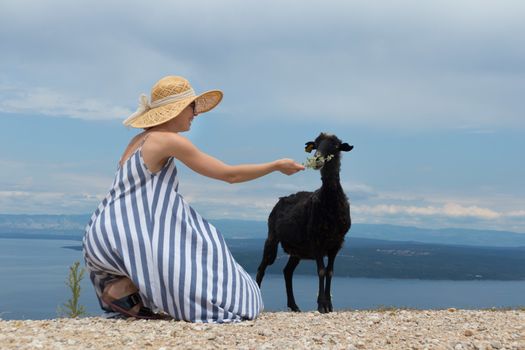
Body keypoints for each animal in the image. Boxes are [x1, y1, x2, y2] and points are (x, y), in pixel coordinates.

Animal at [255, 133, 352, 314]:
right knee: (262, 267)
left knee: (287, 271)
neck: (330, 204)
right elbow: (321, 271)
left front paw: (329, 305)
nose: (317, 159)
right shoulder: (316, 241)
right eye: (316, 145)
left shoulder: (337, 243)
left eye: (336, 146)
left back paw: (294, 306)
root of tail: (281, 199)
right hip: (272, 237)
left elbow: (330, 272)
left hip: (297, 250)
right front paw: (321, 305)